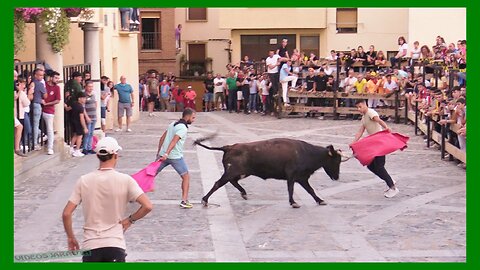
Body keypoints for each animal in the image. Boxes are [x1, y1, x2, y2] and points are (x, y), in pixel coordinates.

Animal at [193, 137, 350, 209]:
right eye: (336, 161)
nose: (336, 177)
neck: (306, 153)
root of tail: (229, 147)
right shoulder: (292, 176)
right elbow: (291, 189)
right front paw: (293, 202)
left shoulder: (302, 178)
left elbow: (310, 190)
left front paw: (320, 200)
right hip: (231, 171)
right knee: (218, 183)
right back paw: (205, 200)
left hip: (241, 172)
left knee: (233, 181)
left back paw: (244, 193)